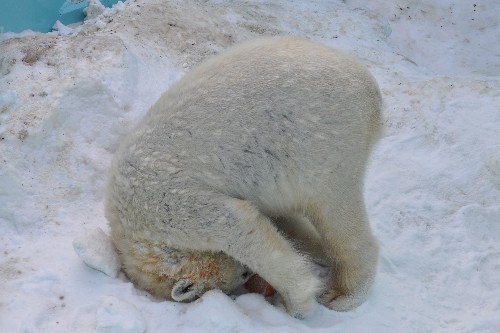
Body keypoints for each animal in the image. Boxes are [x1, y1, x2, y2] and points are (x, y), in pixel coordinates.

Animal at [104, 36, 378, 316]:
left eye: (243, 274)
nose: (247, 273)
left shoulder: (168, 205)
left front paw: (298, 303)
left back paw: (343, 295)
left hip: (321, 144)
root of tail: (369, 89)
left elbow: (238, 224)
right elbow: (282, 221)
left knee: (335, 212)